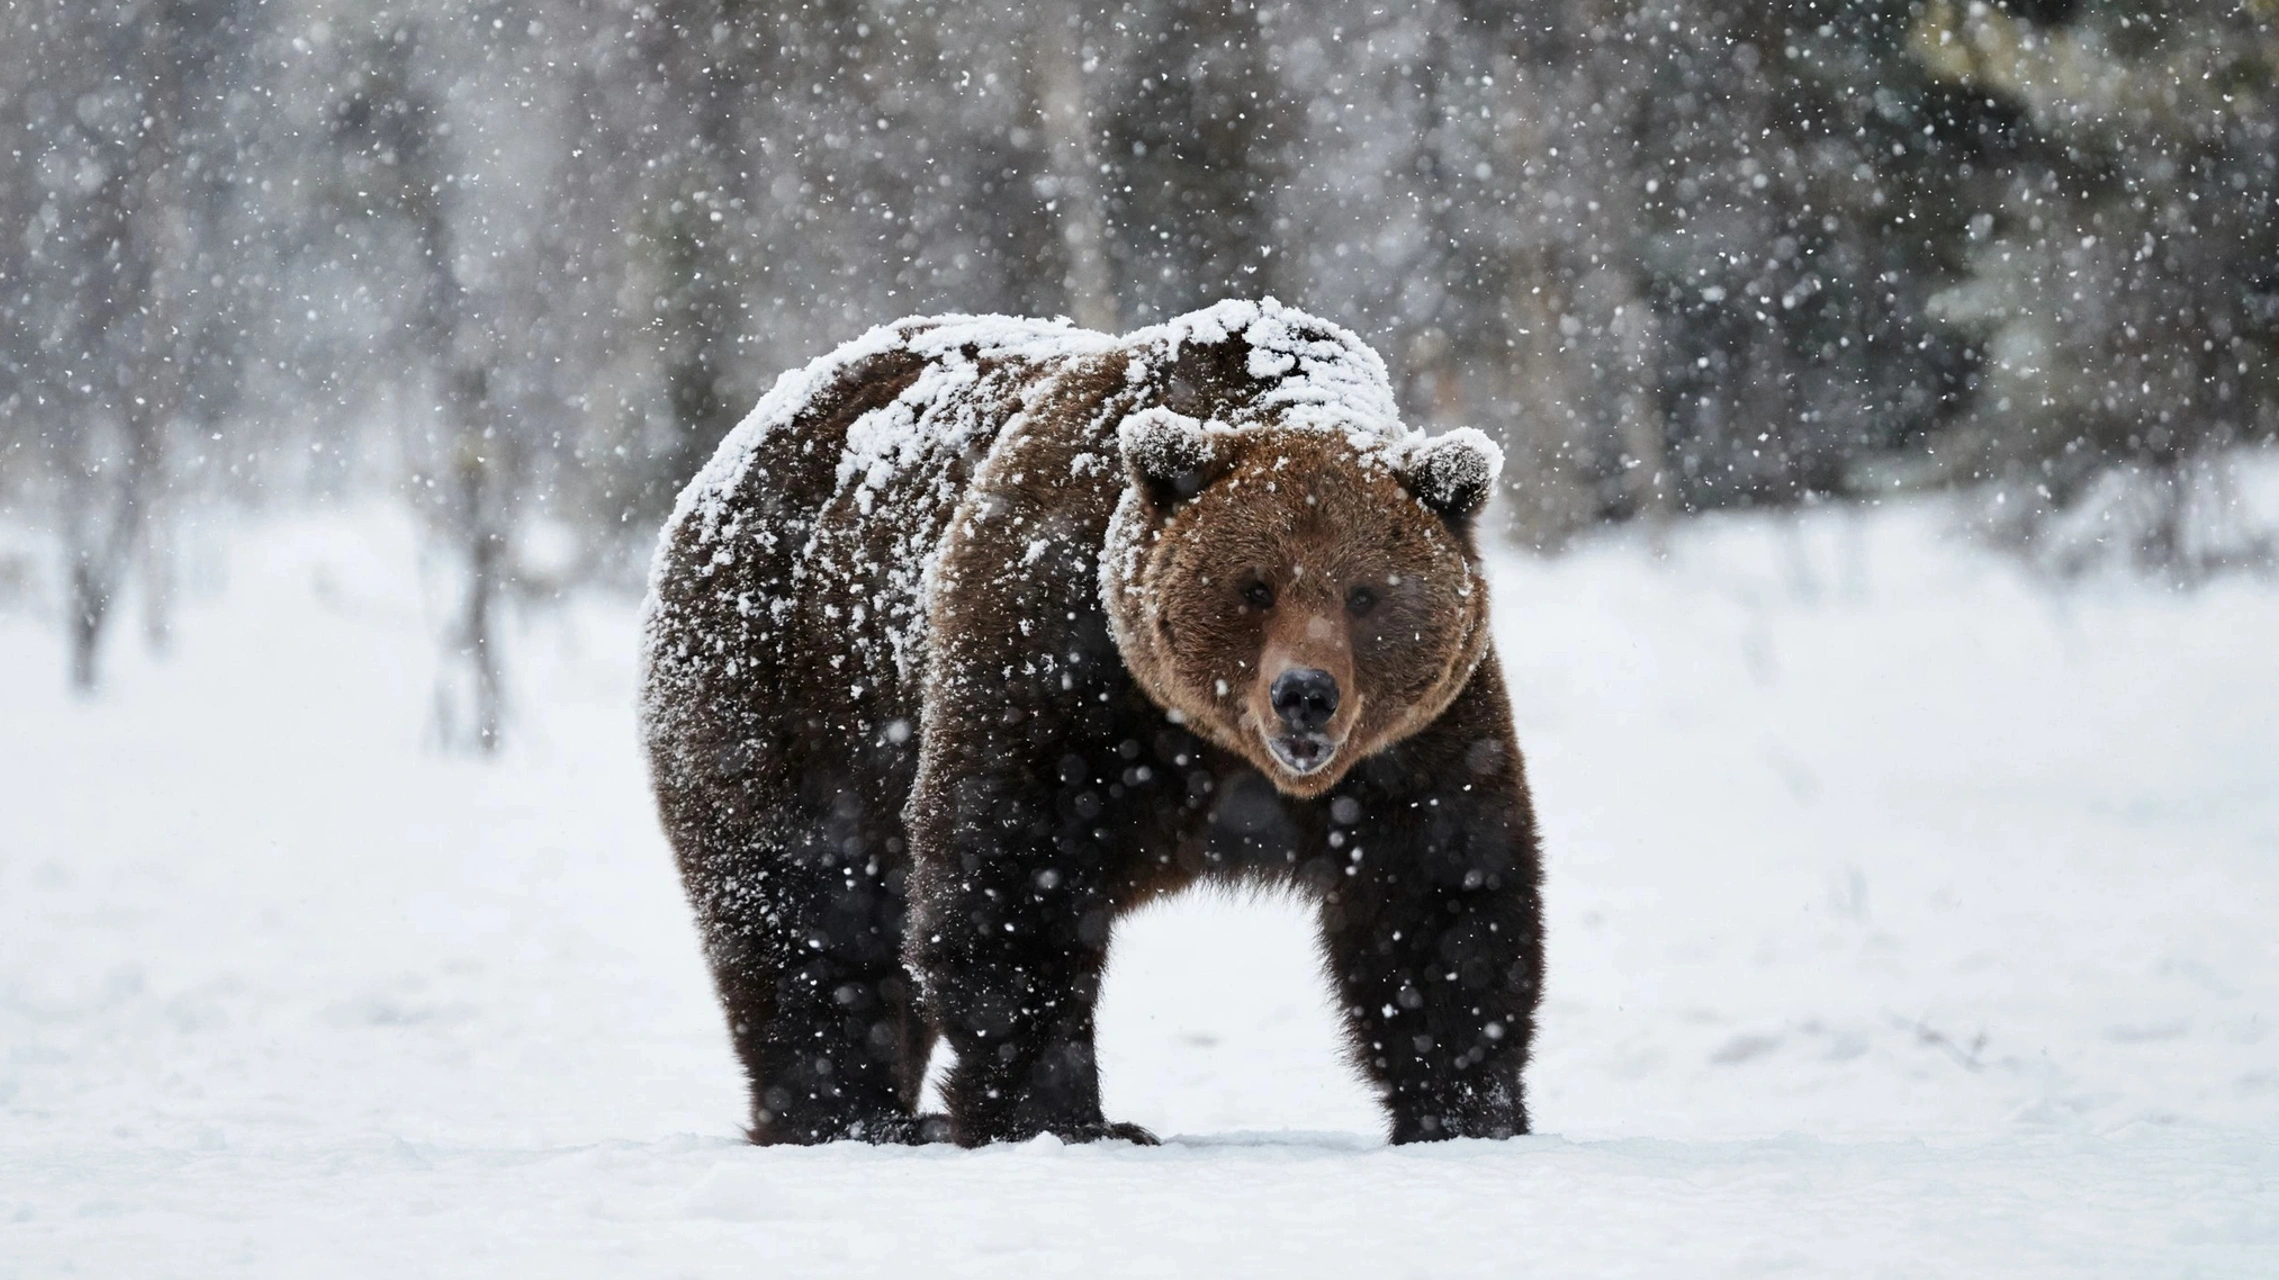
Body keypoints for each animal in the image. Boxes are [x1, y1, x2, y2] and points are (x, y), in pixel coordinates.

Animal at [642, 300, 1549, 1147]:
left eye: (1366, 594)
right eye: (1254, 587)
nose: (1304, 693)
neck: (1210, 743)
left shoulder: (1416, 740)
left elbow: (1441, 896)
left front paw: (1466, 1111)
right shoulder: (1054, 671)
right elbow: (1011, 883)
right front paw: (1064, 1117)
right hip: (791, 688)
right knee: (807, 909)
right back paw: (848, 1115)